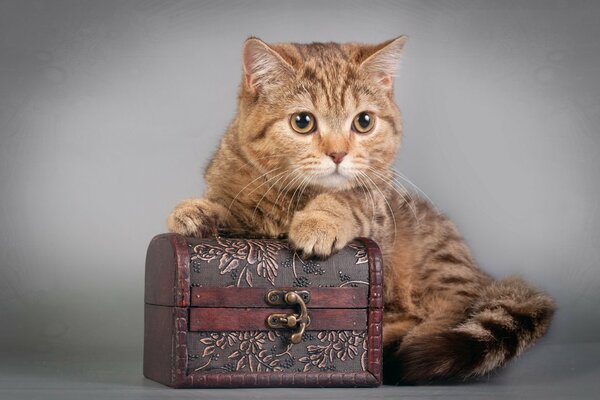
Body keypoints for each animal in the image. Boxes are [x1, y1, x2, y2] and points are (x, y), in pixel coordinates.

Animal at [166, 37, 556, 384]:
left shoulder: (376, 203)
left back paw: (392, 343)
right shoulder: (242, 204)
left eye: (364, 121)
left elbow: (347, 198)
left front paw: (318, 221)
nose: (338, 153)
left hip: (438, 267)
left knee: (446, 311)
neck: (295, 195)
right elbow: (230, 206)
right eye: (302, 122)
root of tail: (480, 273)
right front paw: (195, 211)